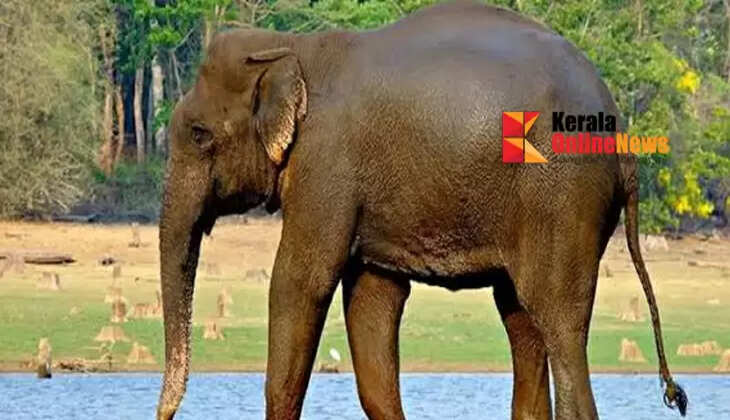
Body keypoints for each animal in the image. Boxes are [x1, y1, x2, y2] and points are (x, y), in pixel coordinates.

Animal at [157, 1, 687, 419]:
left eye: (199, 134)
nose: (165, 413)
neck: (291, 47)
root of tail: (621, 133)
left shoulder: (326, 164)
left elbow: (300, 280)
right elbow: (373, 299)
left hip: (562, 197)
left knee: (558, 322)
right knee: (520, 317)